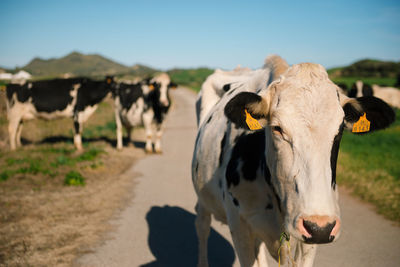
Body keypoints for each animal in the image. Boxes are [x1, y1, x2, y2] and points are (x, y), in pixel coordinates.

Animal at [192, 58, 396, 267]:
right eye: (277, 128)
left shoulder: (309, 242)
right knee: (202, 226)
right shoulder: (239, 227)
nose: (319, 226)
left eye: (340, 130)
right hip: (203, 198)